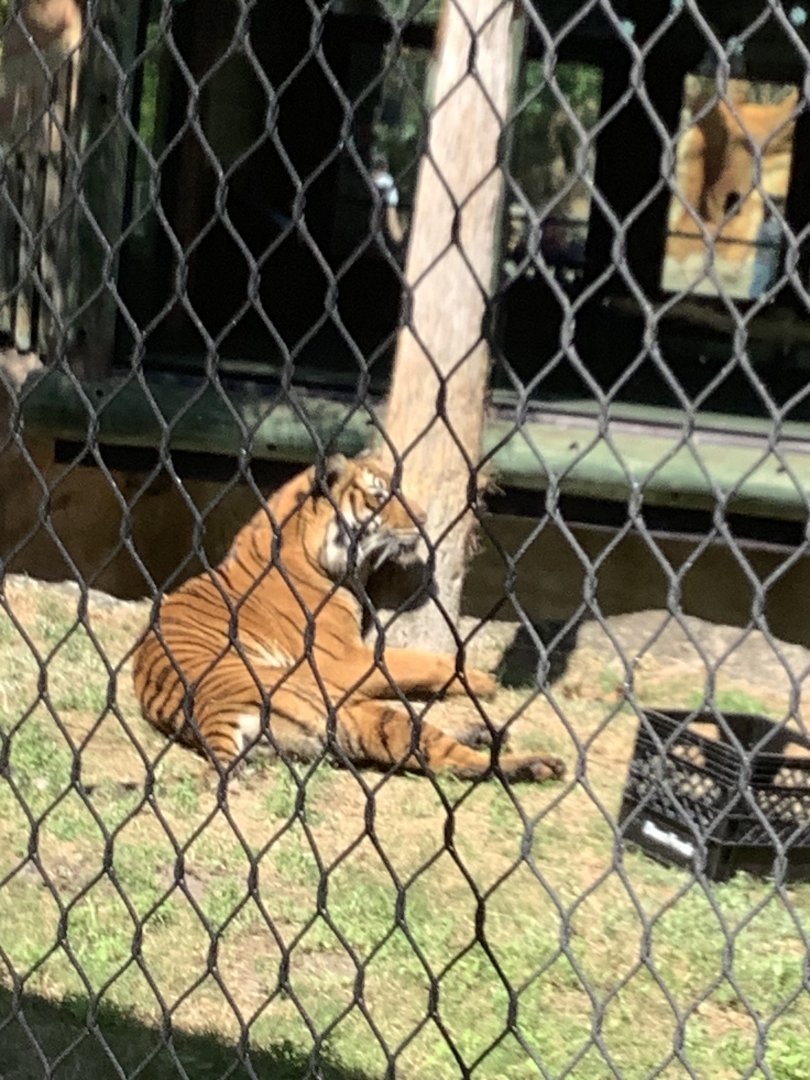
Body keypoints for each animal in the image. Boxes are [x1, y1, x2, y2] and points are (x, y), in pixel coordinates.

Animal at [132, 453, 566, 784]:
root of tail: (210, 714)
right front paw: (480, 679)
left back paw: (484, 736)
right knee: (441, 756)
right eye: (378, 497)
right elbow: (416, 661)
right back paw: (535, 763)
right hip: (343, 706)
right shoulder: (343, 660)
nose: (424, 517)